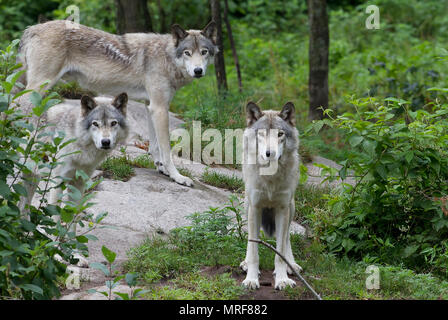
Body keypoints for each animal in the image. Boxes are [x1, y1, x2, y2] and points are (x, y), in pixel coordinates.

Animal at [18, 20, 218, 188]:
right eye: (187, 53)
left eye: (204, 52)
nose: (198, 70)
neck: (166, 56)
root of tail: (32, 28)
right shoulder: (160, 108)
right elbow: (167, 149)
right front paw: (178, 177)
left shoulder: (151, 106)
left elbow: (155, 146)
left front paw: (162, 168)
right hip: (38, 89)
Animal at [240, 102, 302, 290]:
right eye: (262, 134)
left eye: (280, 134)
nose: (270, 153)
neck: (270, 178)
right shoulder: (255, 207)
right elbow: (254, 252)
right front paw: (251, 279)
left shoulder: (282, 208)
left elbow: (280, 252)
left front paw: (282, 279)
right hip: (247, 205)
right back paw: (245, 264)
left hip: (291, 207)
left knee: (287, 236)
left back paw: (292, 265)